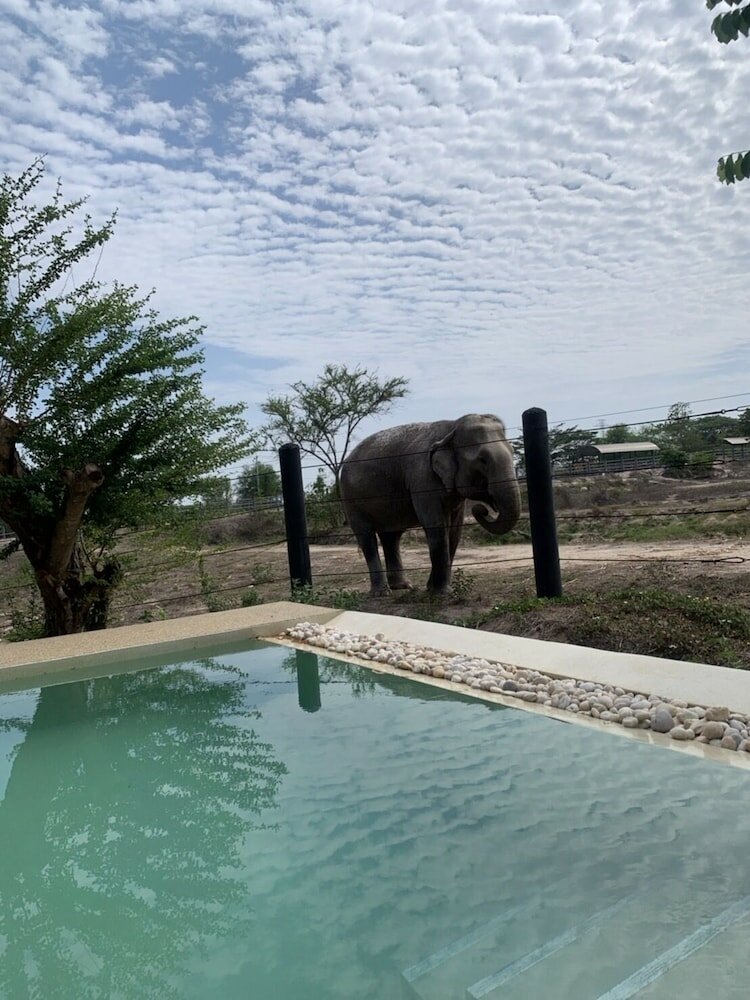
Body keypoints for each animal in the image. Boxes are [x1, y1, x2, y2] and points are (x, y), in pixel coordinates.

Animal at [339, 414, 521, 596]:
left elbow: (454, 531)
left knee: (391, 537)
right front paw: (442, 593)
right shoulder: (422, 479)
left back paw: (403, 586)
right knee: (367, 537)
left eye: (513, 452)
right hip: (350, 498)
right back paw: (382, 593)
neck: (452, 426)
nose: (482, 510)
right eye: (482, 460)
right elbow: (436, 527)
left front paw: (432, 589)